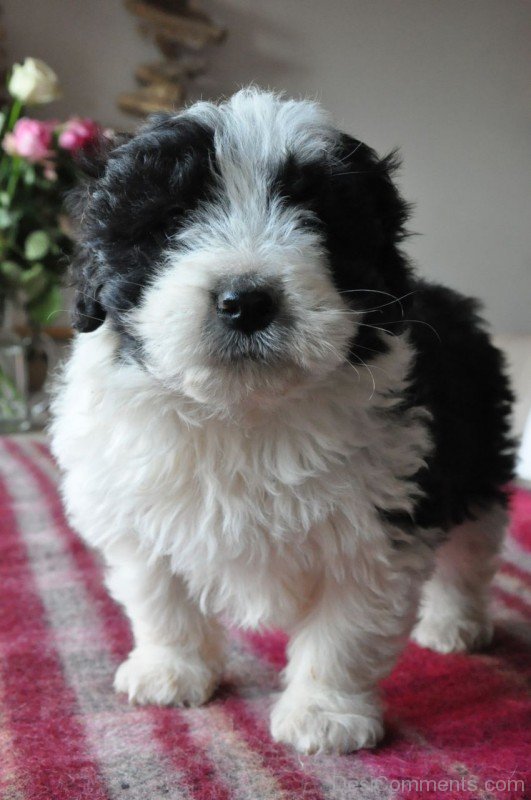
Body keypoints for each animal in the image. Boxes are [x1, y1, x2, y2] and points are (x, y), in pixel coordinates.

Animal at [51, 90, 516, 752]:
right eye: (169, 222)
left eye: (318, 220)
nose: (246, 301)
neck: (244, 412)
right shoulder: (135, 505)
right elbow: (158, 593)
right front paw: (171, 670)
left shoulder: (379, 521)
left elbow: (345, 629)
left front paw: (325, 715)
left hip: (473, 453)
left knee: (472, 546)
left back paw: (455, 622)